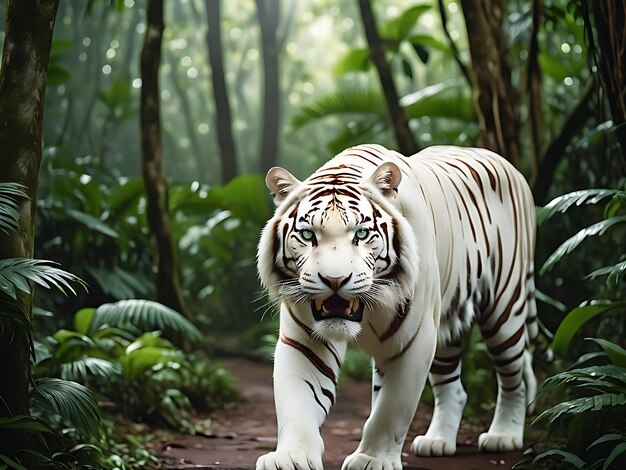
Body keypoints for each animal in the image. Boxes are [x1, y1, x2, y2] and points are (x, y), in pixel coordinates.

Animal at [254, 144, 540, 470]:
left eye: (361, 234)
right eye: (307, 235)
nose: (334, 279)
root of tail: (511, 167)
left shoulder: (414, 339)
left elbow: (392, 408)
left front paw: (372, 459)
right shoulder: (305, 340)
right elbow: (299, 399)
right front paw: (292, 456)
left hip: (505, 310)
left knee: (513, 377)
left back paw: (504, 435)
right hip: (447, 323)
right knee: (453, 388)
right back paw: (437, 441)